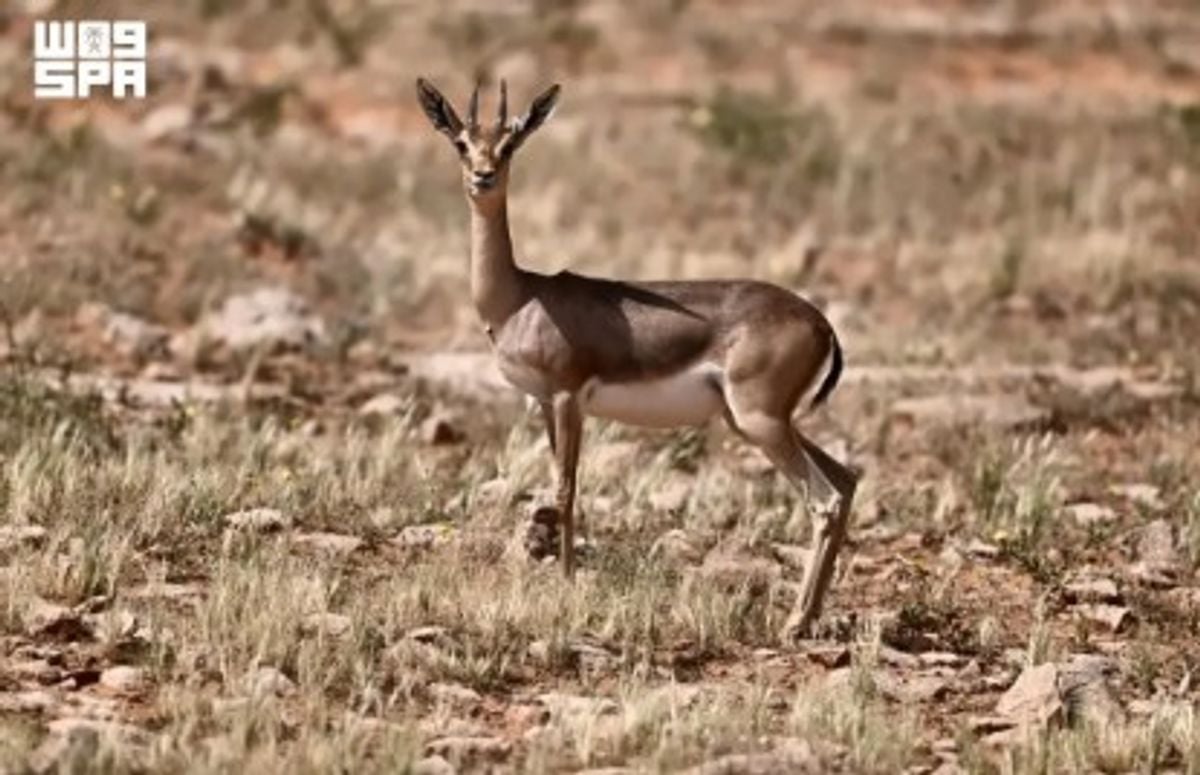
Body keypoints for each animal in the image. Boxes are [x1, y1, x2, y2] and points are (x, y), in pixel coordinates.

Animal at [415, 78, 858, 640]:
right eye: (461, 143)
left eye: (510, 144)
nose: (483, 176)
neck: (519, 297)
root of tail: (820, 322)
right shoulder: (545, 404)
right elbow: (555, 487)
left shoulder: (569, 397)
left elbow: (566, 489)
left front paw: (566, 582)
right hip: (757, 422)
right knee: (846, 481)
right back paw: (810, 616)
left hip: (762, 423)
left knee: (824, 500)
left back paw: (794, 623)